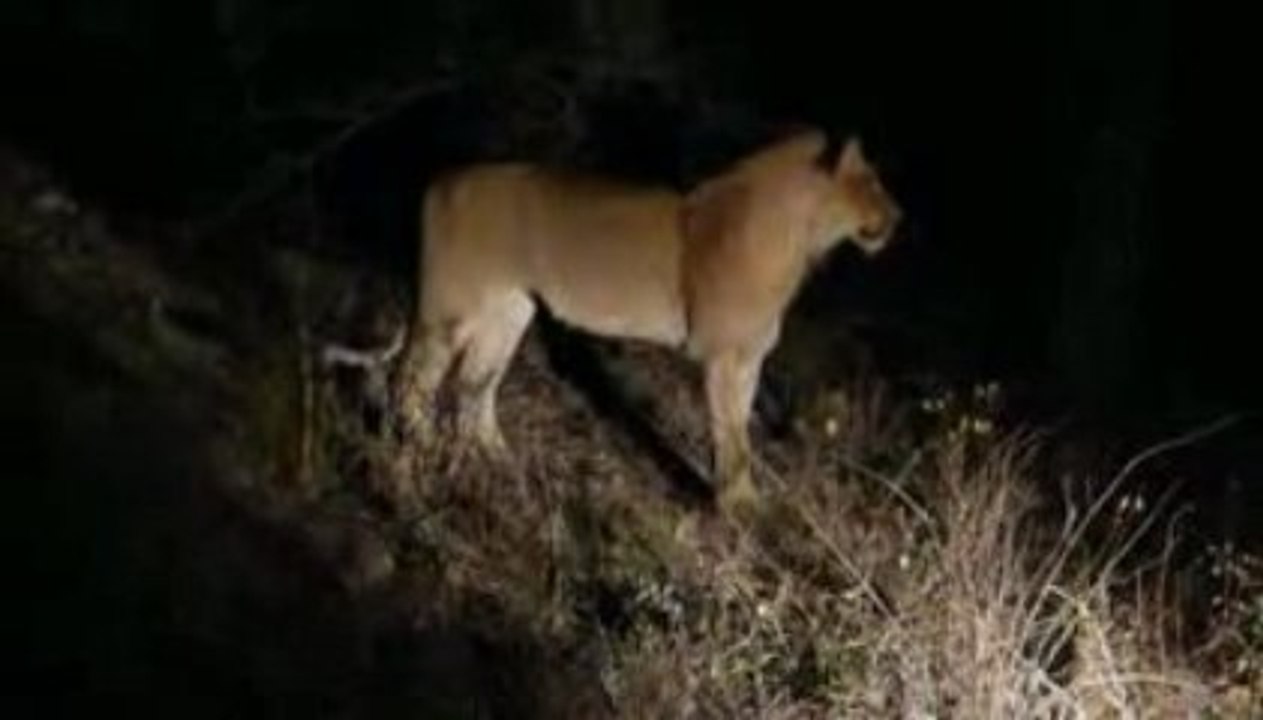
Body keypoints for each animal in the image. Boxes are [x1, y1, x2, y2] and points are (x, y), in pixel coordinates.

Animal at [394, 127, 901, 513]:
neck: (799, 239)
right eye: (873, 183)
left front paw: (744, 501)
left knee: (474, 386)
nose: (900, 216)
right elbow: (730, 436)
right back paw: (414, 454)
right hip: (448, 310)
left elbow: (740, 430)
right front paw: (736, 510)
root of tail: (440, 179)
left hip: (508, 312)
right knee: (411, 379)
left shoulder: (750, 358)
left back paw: (496, 459)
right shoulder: (721, 356)